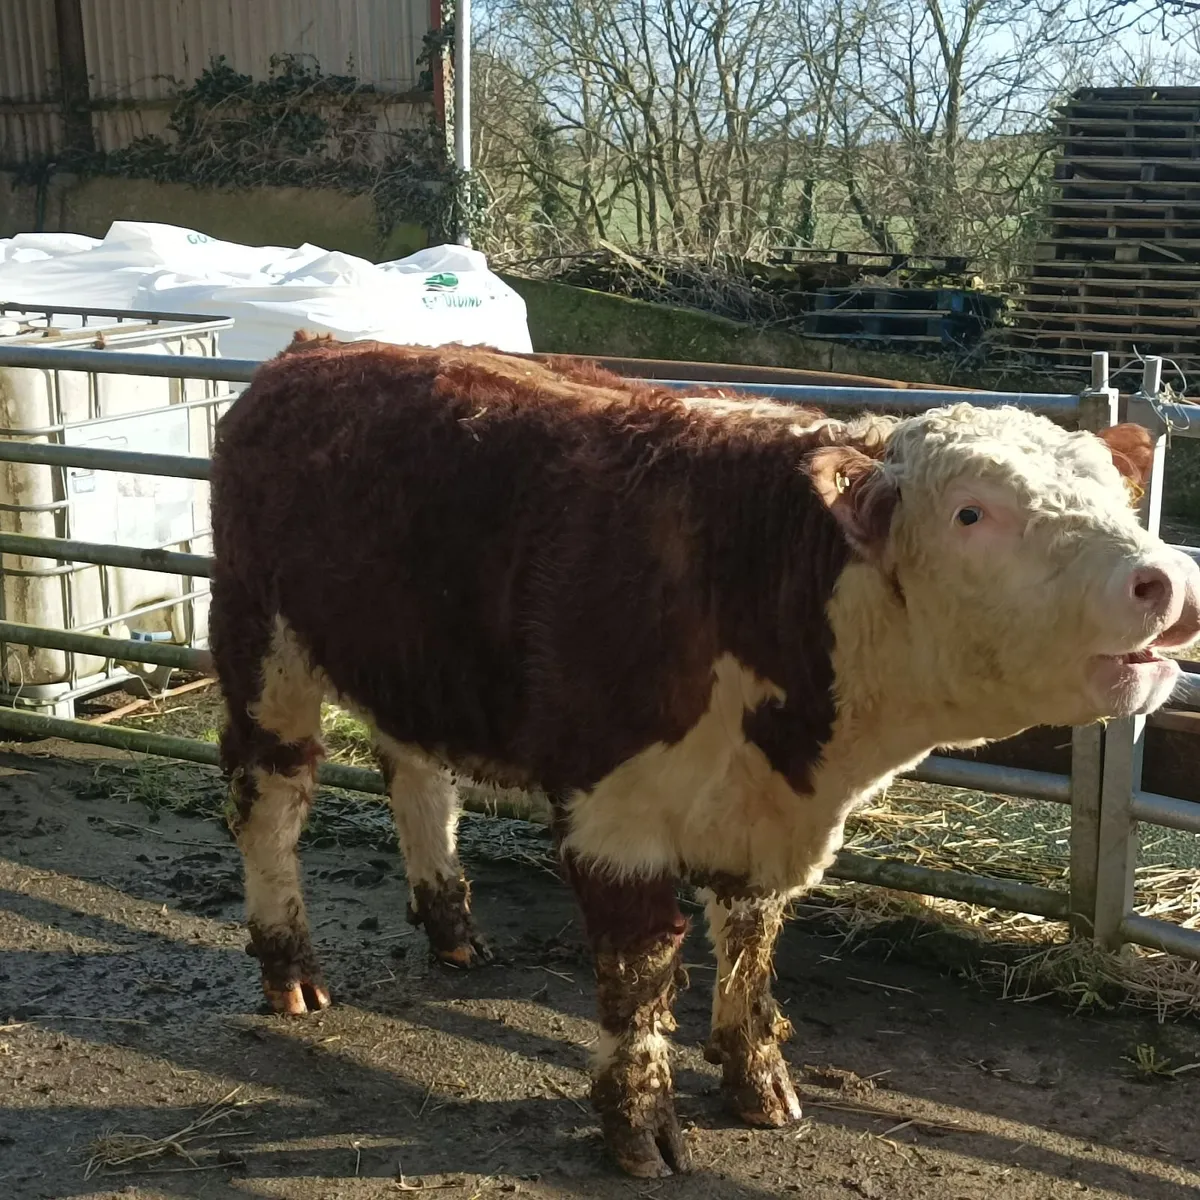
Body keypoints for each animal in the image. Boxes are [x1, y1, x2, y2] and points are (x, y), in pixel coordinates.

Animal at [208, 335, 1200, 1178]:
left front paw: (758, 1080)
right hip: (264, 650)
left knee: (417, 780)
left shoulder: (771, 820)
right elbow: (641, 971)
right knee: (269, 799)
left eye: (1115, 498)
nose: (1169, 579)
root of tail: (315, 350)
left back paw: (452, 928)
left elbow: (751, 940)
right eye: (970, 512)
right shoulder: (615, 812)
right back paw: (289, 968)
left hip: (411, 665)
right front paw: (639, 1124)